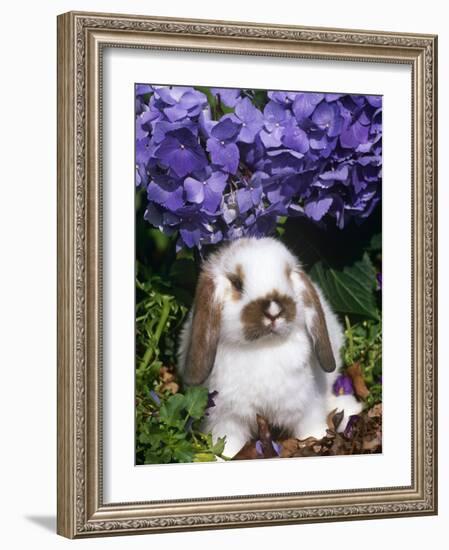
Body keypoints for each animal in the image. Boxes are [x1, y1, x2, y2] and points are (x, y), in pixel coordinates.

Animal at [177, 239, 362, 460]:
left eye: (288, 275)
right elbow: (226, 444)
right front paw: (221, 458)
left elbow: (311, 430)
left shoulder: (306, 407)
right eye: (237, 283)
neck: (263, 346)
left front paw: (318, 441)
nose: (274, 310)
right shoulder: (225, 418)